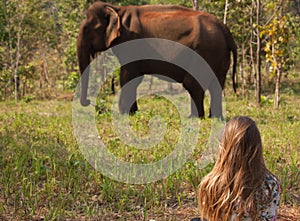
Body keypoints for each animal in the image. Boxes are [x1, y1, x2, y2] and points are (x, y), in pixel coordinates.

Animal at [77, 1, 237, 118]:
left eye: (88, 29)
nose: (90, 102)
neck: (117, 9)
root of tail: (224, 29)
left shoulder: (130, 42)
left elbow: (127, 76)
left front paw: (125, 114)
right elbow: (134, 78)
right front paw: (133, 113)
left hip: (205, 51)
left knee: (193, 83)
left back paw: (194, 118)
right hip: (219, 54)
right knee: (216, 85)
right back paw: (215, 118)